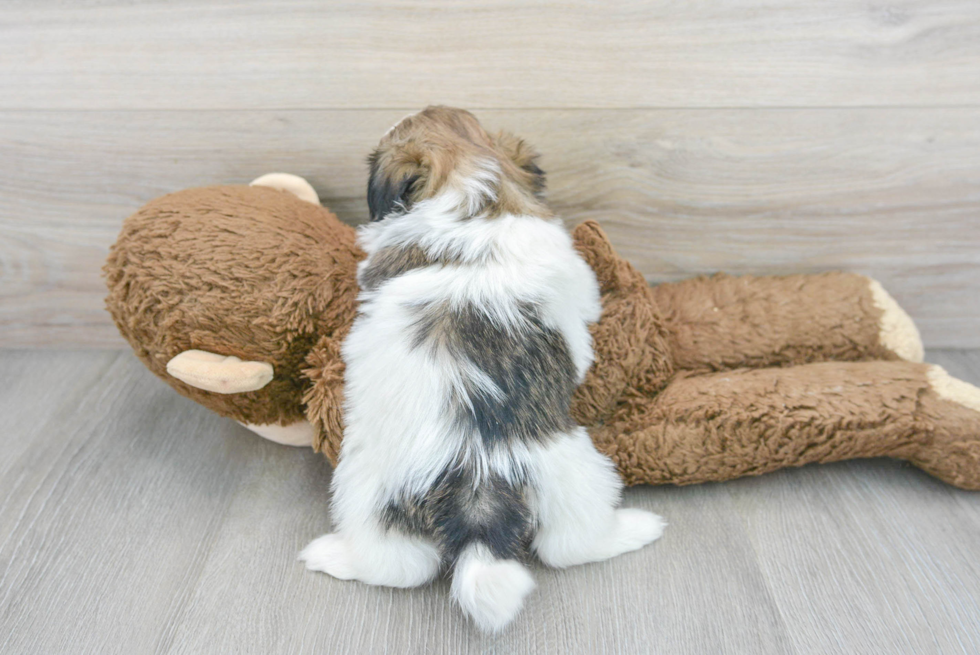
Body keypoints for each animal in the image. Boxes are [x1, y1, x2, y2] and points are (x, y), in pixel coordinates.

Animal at [298, 107, 668, 636]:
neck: (476, 195)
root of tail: (475, 485)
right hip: (577, 476)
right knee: (566, 548)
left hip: (371, 493)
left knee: (401, 566)